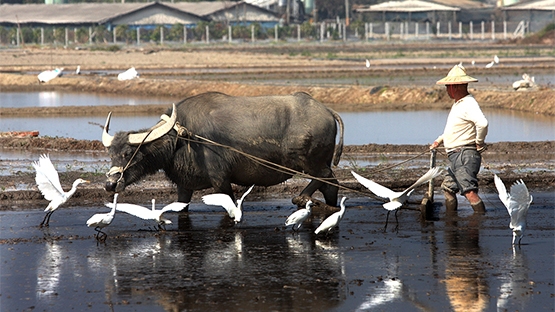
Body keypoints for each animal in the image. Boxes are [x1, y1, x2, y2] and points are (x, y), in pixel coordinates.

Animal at [100, 91, 344, 206]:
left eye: (128, 154)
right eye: (111, 155)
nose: (110, 185)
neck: (183, 138)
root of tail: (327, 111)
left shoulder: (221, 181)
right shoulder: (184, 186)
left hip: (313, 163)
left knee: (328, 180)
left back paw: (302, 198)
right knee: (330, 186)